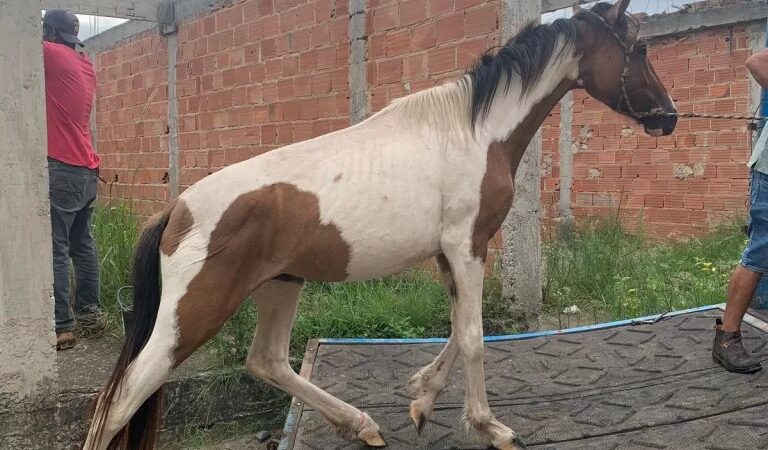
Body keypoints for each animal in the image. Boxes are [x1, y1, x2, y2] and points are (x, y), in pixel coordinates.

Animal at [82, 1, 672, 448]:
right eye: (640, 49)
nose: (668, 117)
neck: (472, 132)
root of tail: (175, 210)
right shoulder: (469, 245)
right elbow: (474, 336)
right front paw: (488, 426)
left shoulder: (450, 254)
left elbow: (456, 328)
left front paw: (422, 399)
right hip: (193, 315)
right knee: (119, 401)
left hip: (280, 285)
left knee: (267, 360)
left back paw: (361, 424)